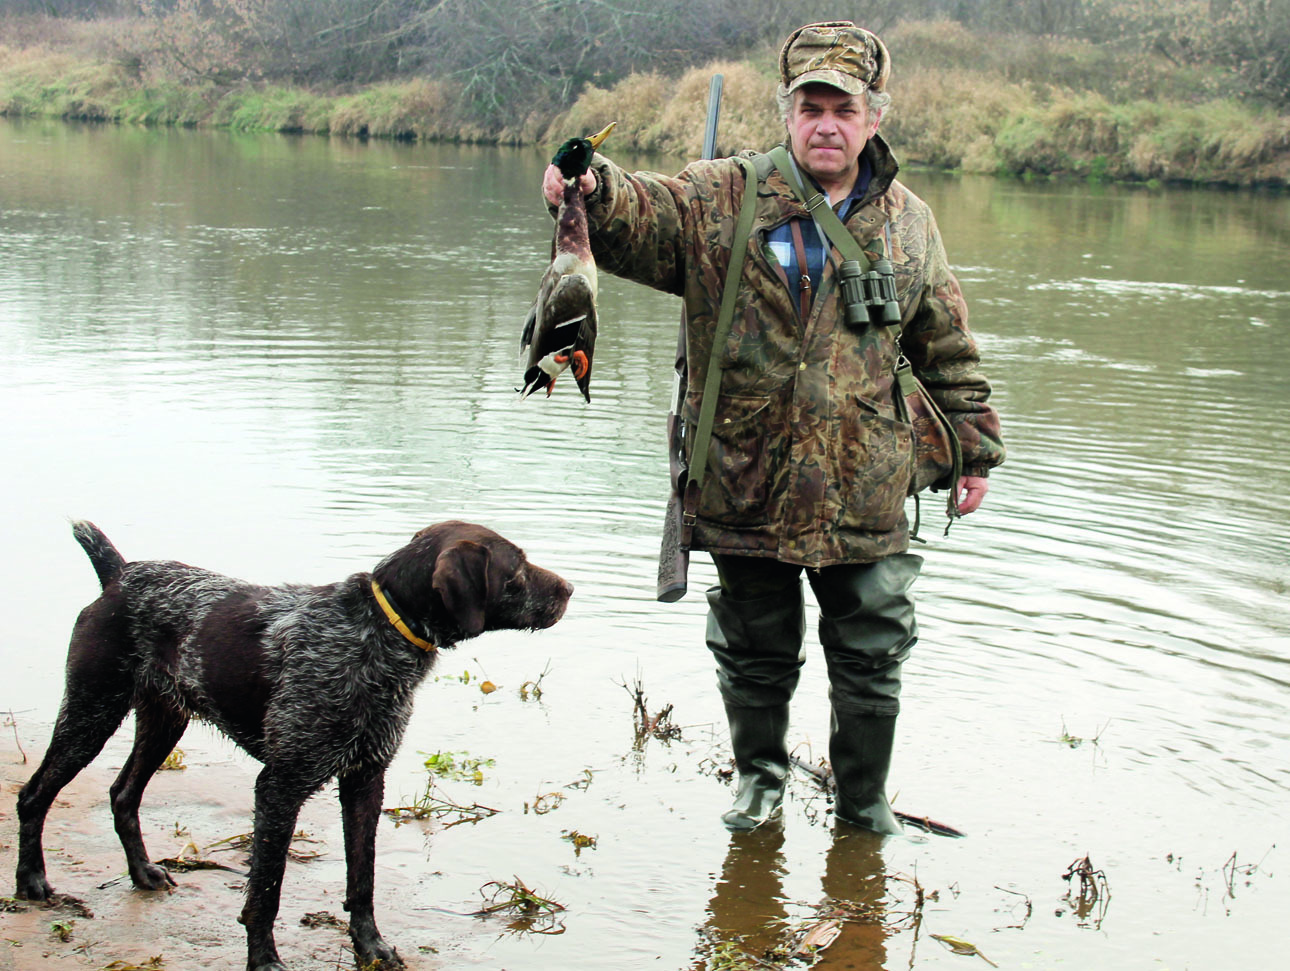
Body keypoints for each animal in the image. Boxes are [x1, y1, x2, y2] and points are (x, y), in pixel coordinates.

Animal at [15, 523, 570, 969]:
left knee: (122, 795)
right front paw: (263, 960)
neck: (378, 634)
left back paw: (141, 873)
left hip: (163, 719)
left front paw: (370, 947)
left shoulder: (365, 780)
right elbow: (266, 890)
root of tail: (120, 574)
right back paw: (31, 883)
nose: (569, 588)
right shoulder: (281, 786)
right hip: (91, 711)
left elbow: (362, 880)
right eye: (517, 567)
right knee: (33, 795)